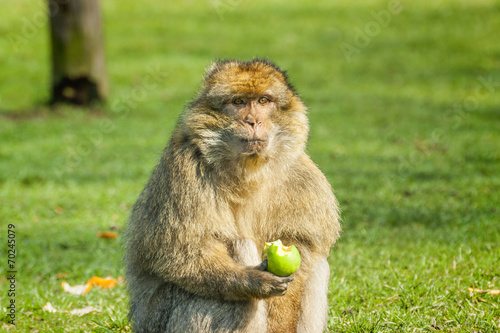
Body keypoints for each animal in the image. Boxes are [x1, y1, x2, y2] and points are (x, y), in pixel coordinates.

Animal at [124, 58, 342, 330]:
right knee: (238, 248)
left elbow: (303, 249)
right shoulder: (185, 170)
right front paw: (252, 281)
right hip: (158, 321)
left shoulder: (302, 175)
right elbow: (179, 252)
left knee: (318, 265)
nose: (253, 121)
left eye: (263, 101)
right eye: (238, 102)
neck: (249, 170)